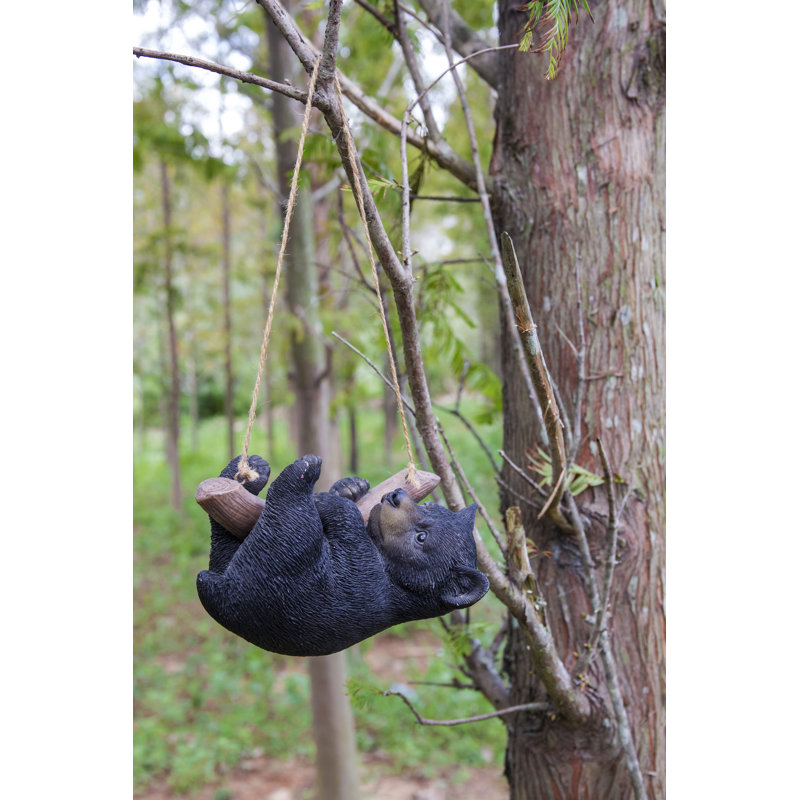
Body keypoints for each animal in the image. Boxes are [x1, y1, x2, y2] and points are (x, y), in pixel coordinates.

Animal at [196, 454, 490, 657]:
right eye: (428, 504)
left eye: (421, 537)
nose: (396, 494)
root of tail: (213, 588)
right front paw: (350, 487)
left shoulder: (368, 583)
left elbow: (349, 547)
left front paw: (332, 500)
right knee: (223, 547)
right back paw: (247, 469)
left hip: (277, 572)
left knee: (287, 525)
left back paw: (303, 470)